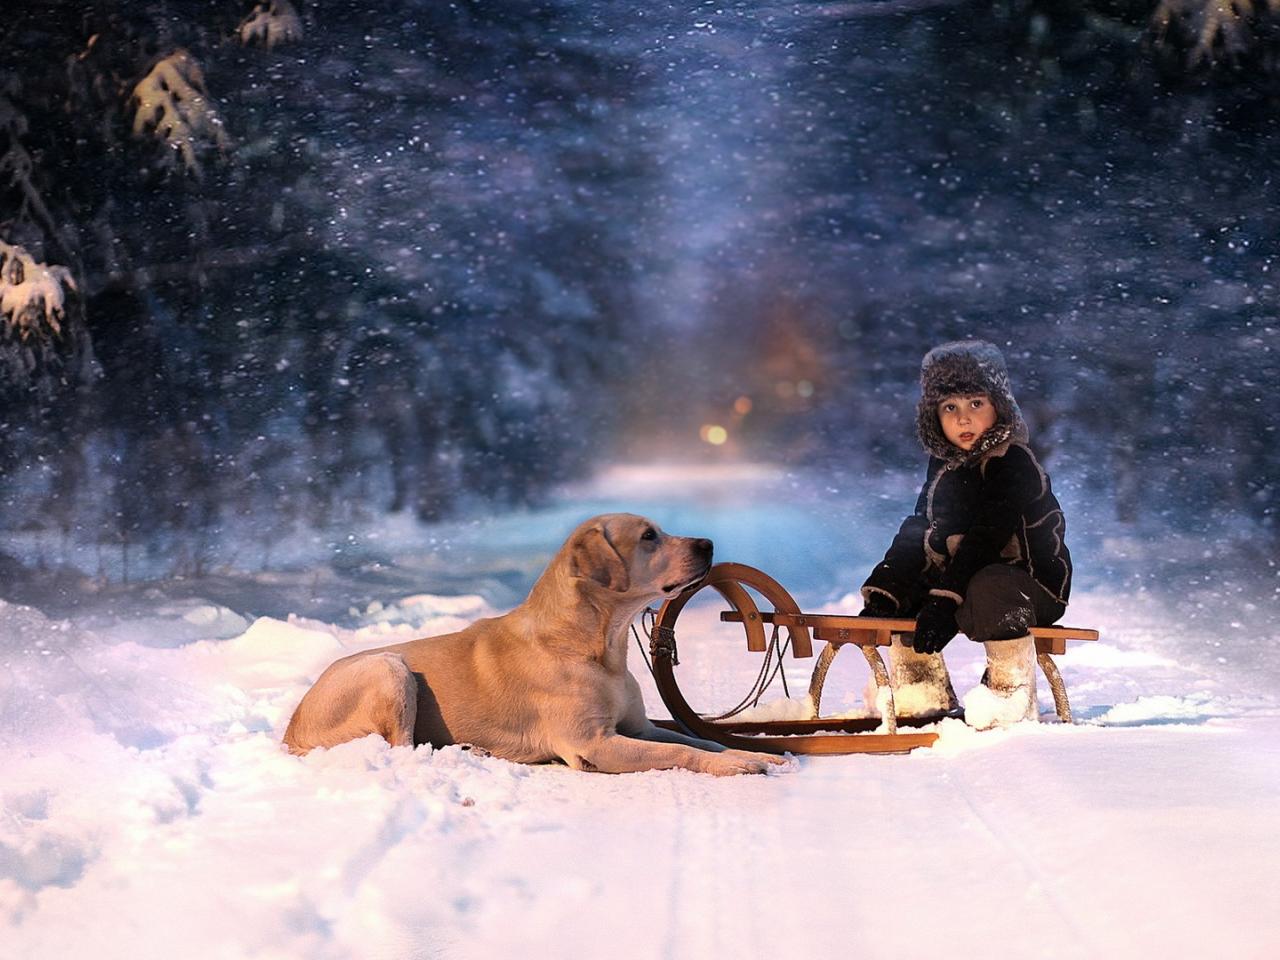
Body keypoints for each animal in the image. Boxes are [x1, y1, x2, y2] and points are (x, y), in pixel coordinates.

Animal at [285, 514, 783, 778]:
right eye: (648, 536)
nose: (708, 543)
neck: (598, 647)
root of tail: (291, 732)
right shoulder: (594, 744)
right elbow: (680, 752)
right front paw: (737, 763)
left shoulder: (638, 729)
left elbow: (699, 740)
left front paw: (747, 752)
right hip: (390, 669)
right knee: (403, 750)